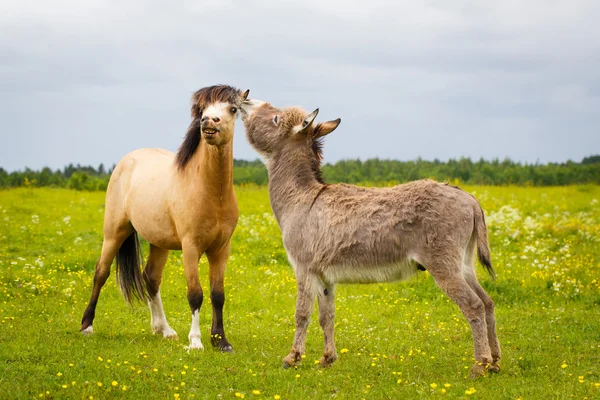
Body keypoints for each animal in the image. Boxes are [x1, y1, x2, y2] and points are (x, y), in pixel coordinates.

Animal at [80, 85, 248, 354]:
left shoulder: (221, 249)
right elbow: (195, 294)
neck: (212, 192)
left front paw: (221, 341)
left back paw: (164, 329)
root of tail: (128, 160)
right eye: (202, 109)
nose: (208, 122)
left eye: (233, 109)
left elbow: (217, 295)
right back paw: (87, 326)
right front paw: (196, 341)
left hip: (159, 243)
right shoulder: (191, 248)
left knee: (150, 278)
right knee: (101, 272)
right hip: (114, 232)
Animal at [241, 98, 500, 376]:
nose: (245, 99)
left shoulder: (304, 268)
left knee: (473, 305)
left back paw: (479, 365)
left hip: (443, 264)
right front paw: (327, 358)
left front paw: (293, 358)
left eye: (276, 118)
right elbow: (326, 316)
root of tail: (469, 199)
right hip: (463, 264)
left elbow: (302, 314)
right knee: (487, 302)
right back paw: (495, 362)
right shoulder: (324, 276)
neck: (302, 198)